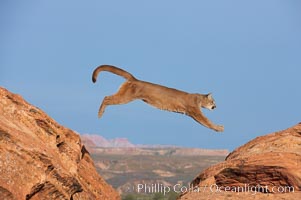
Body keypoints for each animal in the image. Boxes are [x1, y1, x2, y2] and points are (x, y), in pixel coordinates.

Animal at [91, 65, 223, 132]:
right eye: (213, 101)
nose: (216, 106)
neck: (199, 98)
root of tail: (135, 79)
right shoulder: (195, 112)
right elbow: (206, 121)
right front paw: (219, 128)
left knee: (107, 97)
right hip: (125, 97)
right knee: (106, 98)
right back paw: (100, 113)